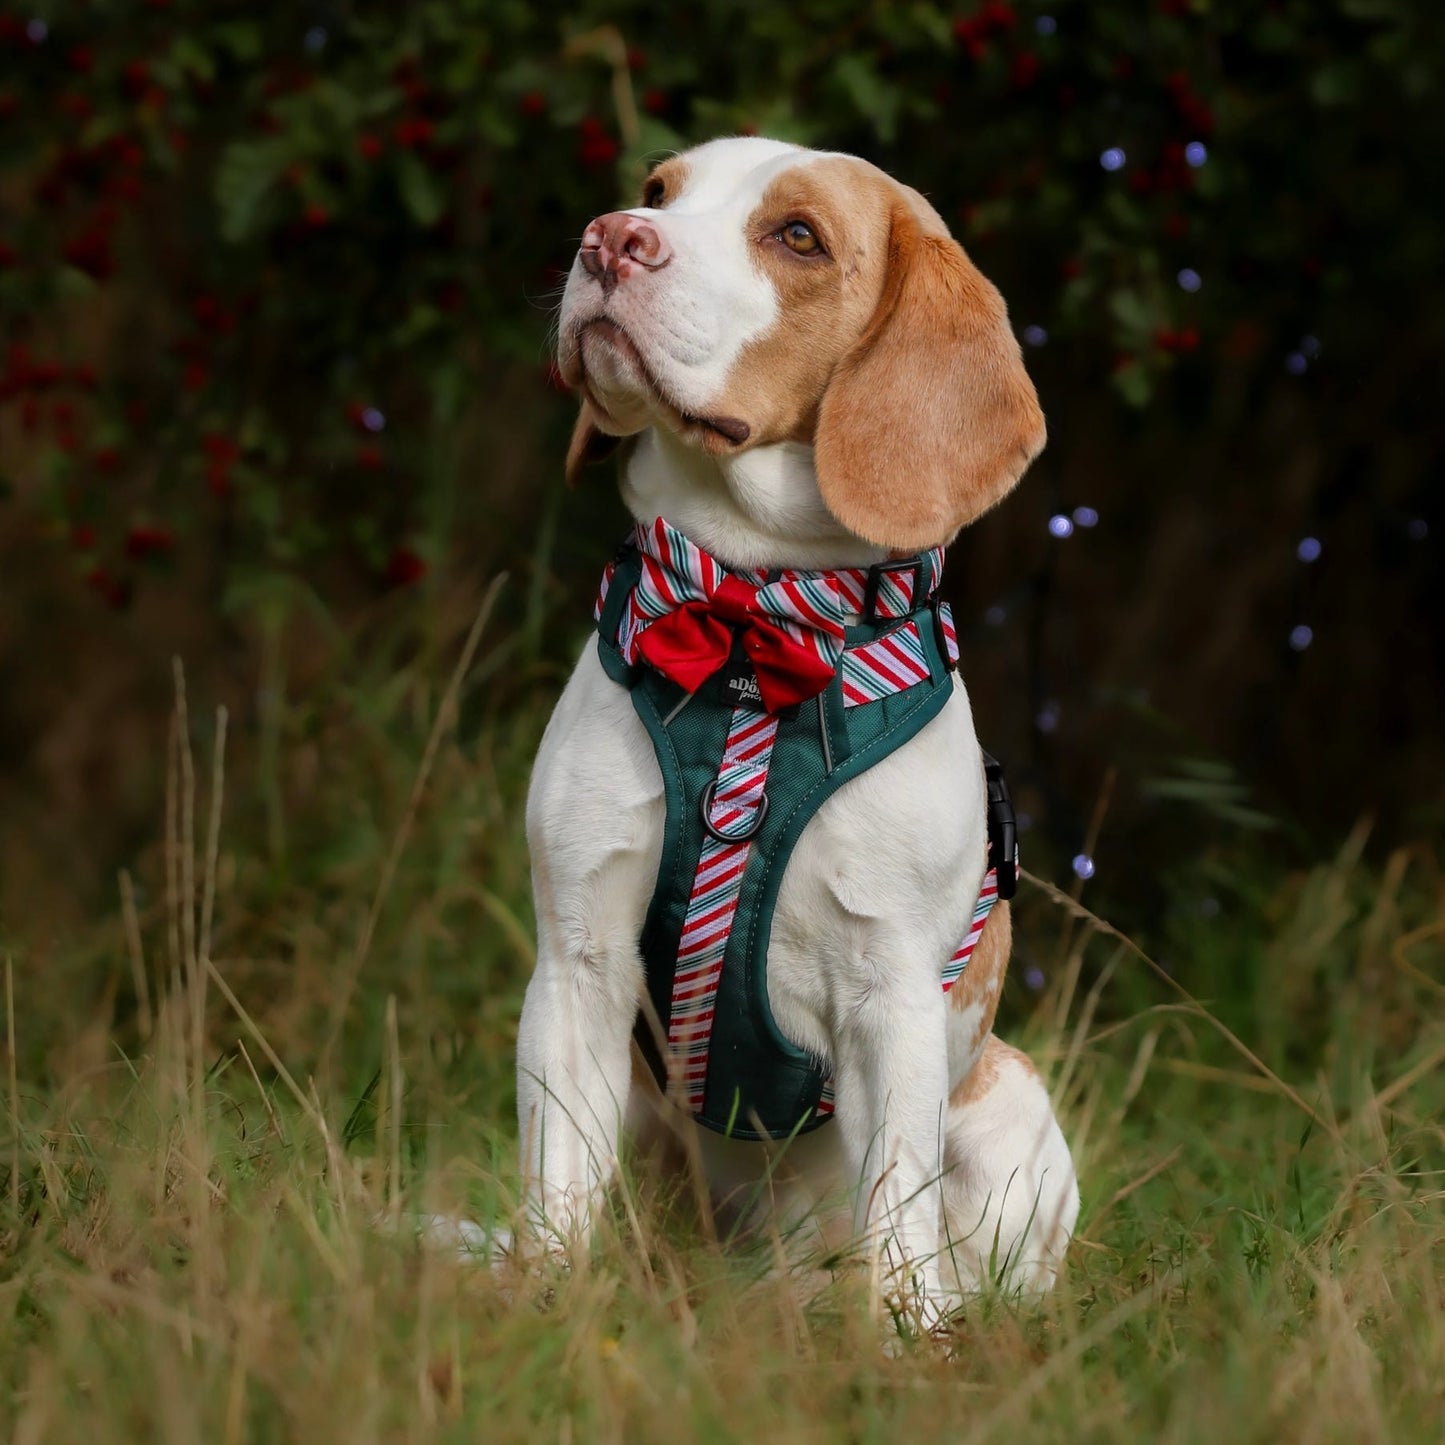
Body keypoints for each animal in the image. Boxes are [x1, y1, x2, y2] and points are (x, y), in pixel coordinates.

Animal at [517, 140, 1075, 1323]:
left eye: (798, 238)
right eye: (659, 189)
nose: (608, 238)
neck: (745, 623)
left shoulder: (890, 999)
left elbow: (898, 1216)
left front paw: (899, 1340)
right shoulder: (576, 962)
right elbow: (555, 1187)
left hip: (1012, 1109)